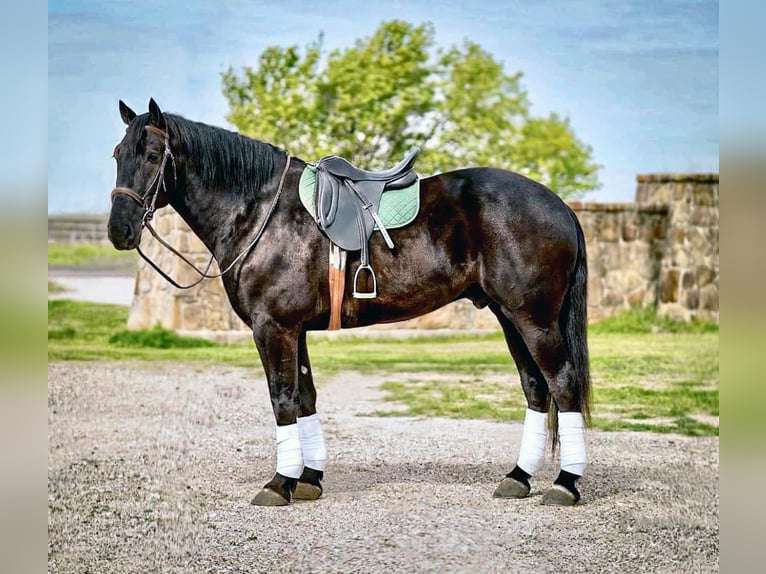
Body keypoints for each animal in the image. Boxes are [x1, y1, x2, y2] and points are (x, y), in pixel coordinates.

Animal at [106, 99, 592, 508]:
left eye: (153, 155)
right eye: (117, 155)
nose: (119, 231)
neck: (261, 211)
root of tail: (560, 206)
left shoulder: (273, 327)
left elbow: (282, 399)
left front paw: (279, 483)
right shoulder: (294, 330)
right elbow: (305, 398)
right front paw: (308, 479)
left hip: (534, 320)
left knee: (563, 385)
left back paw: (565, 483)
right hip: (509, 316)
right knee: (536, 388)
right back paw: (518, 477)